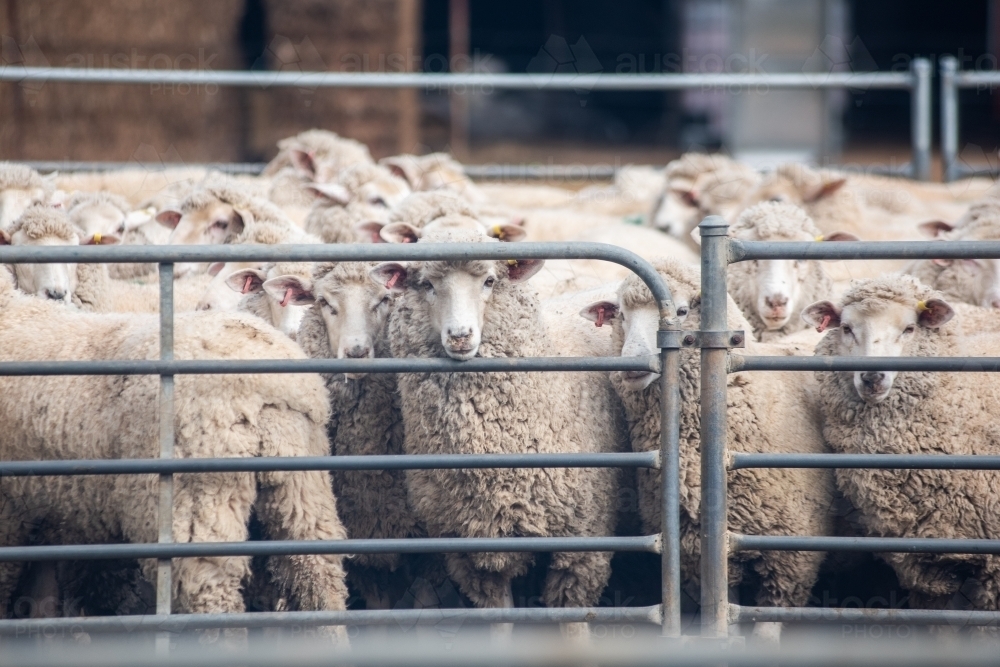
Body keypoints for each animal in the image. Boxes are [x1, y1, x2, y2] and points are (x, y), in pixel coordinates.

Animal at [0, 269, 349, 642]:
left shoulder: (13, 517)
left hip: (195, 503)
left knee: (215, 604)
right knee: (318, 574)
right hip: (302, 485)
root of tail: (268, 387)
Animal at [387, 223, 627, 640]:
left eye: (489, 281)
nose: (460, 336)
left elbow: (573, 625)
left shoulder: (585, 543)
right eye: (427, 284)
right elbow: (500, 621)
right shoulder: (474, 551)